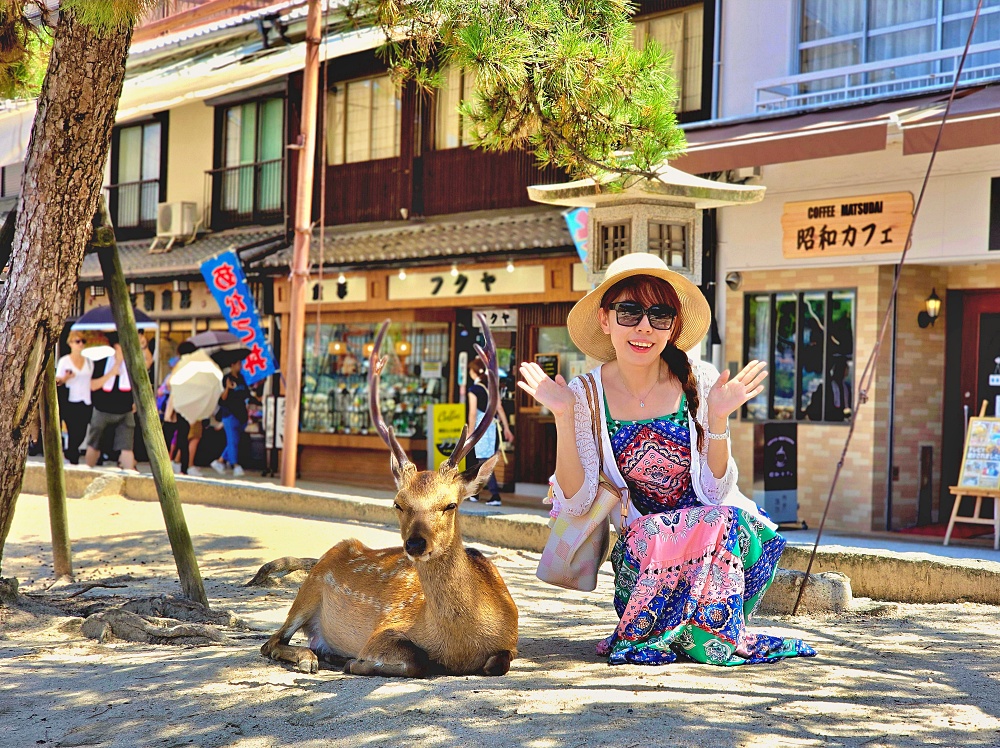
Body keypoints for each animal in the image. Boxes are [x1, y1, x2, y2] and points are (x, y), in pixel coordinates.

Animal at [260, 316, 516, 676]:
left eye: (451, 504)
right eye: (397, 504)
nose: (415, 543)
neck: (459, 646)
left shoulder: (511, 641)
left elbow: (497, 663)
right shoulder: (385, 628)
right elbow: (418, 660)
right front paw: (355, 661)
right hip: (307, 591)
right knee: (271, 641)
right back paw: (312, 658)